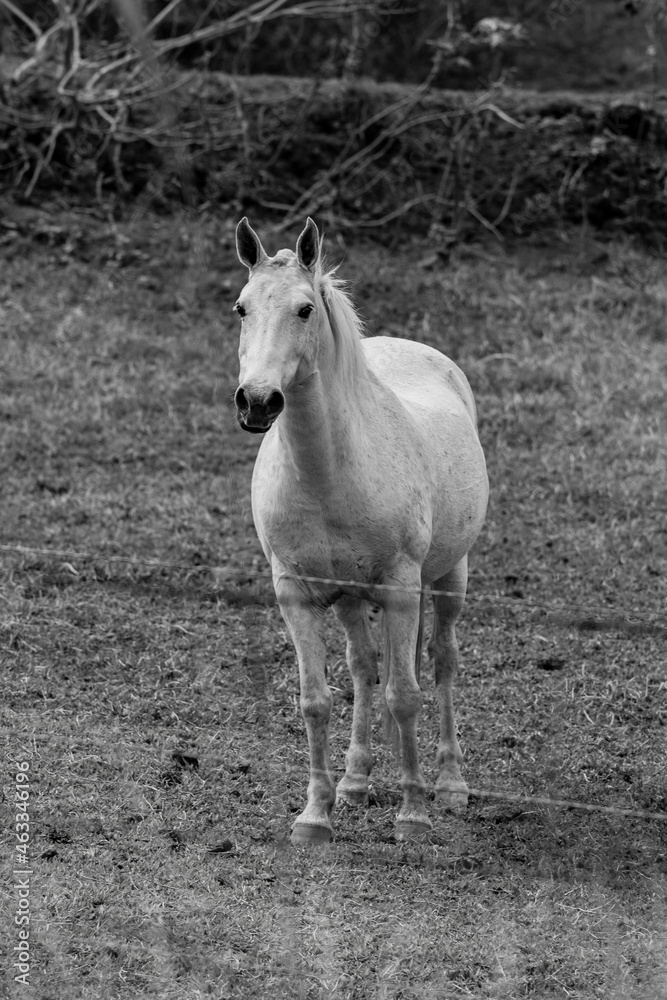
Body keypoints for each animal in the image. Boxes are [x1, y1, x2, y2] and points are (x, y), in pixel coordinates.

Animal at [233, 217, 488, 845]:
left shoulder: (400, 589)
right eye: (241, 307)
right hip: (351, 598)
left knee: (442, 662)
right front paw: (314, 817)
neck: (328, 474)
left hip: (449, 578)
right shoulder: (294, 594)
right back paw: (354, 782)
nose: (257, 401)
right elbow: (317, 700)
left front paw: (413, 815)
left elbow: (406, 695)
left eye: (304, 310)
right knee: (363, 667)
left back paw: (450, 785)